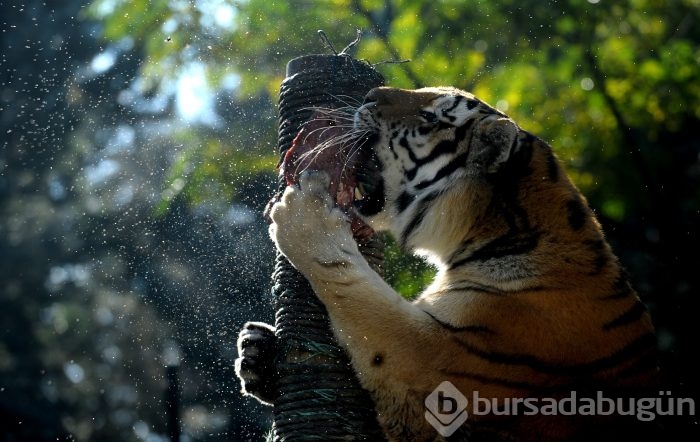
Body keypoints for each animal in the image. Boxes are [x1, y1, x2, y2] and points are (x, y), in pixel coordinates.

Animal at [238, 86, 660, 442]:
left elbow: (356, 289)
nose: (370, 94)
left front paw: (305, 214)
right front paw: (256, 352)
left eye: (432, 118)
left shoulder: (429, 362)